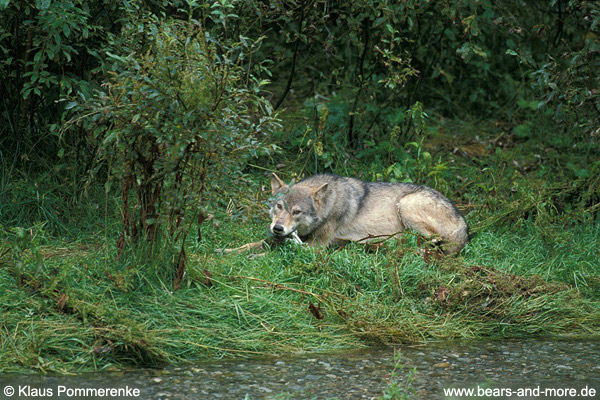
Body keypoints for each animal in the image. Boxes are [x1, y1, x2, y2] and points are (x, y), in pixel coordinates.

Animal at [268, 173, 468, 255]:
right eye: (279, 206)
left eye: (297, 212)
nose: (277, 228)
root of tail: (464, 224)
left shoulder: (316, 246)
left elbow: (285, 248)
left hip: (406, 204)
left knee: (434, 241)